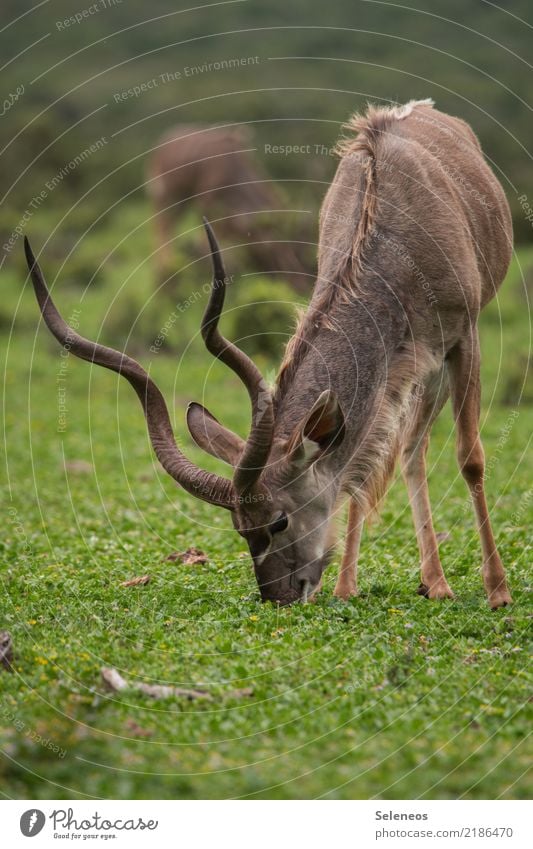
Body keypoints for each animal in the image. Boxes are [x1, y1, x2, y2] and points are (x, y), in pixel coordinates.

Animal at [148, 121, 310, 290]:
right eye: (275, 249)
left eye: (304, 250)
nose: (301, 285)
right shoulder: (209, 207)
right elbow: (204, 247)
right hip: (166, 197)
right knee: (162, 229)